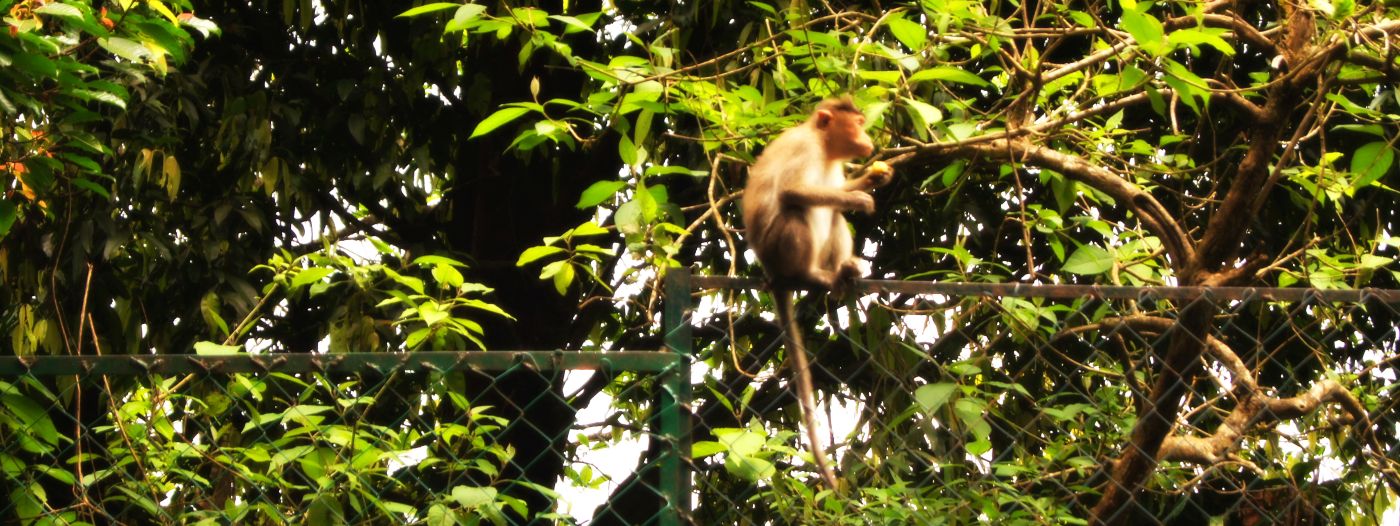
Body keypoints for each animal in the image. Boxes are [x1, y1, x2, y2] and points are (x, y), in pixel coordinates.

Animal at [741, 96, 894, 493]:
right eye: (858, 123)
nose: (867, 138)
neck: (825, 149)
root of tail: (772, 273)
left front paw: (873, 177)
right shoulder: (804, 150)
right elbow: (792, 192)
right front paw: (861, 198)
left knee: (835, 215)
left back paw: (844, 275)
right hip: (780, 251)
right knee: (799, 209)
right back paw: (811, 275)